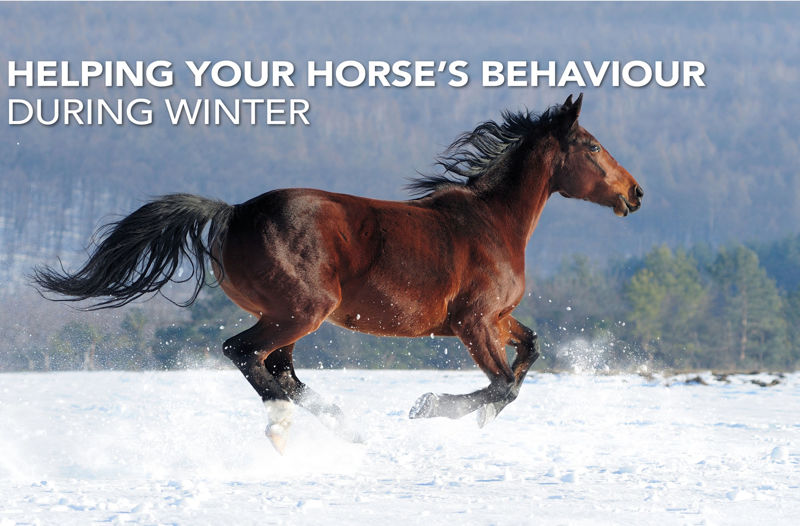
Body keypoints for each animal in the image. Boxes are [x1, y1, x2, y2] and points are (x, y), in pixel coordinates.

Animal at [33, 94, 643, 452]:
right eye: (591, 146)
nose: (635, 192)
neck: (492, 222)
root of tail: (233, 212)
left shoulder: (496, 318)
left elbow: (528, 355)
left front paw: (473, 417)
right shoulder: (474, 322)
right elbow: (503, 385)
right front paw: (428, 408)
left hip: (287, 316)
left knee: (278, 369)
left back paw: (327, 426)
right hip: (301, 310)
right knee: (245, 354)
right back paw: (303, 426)